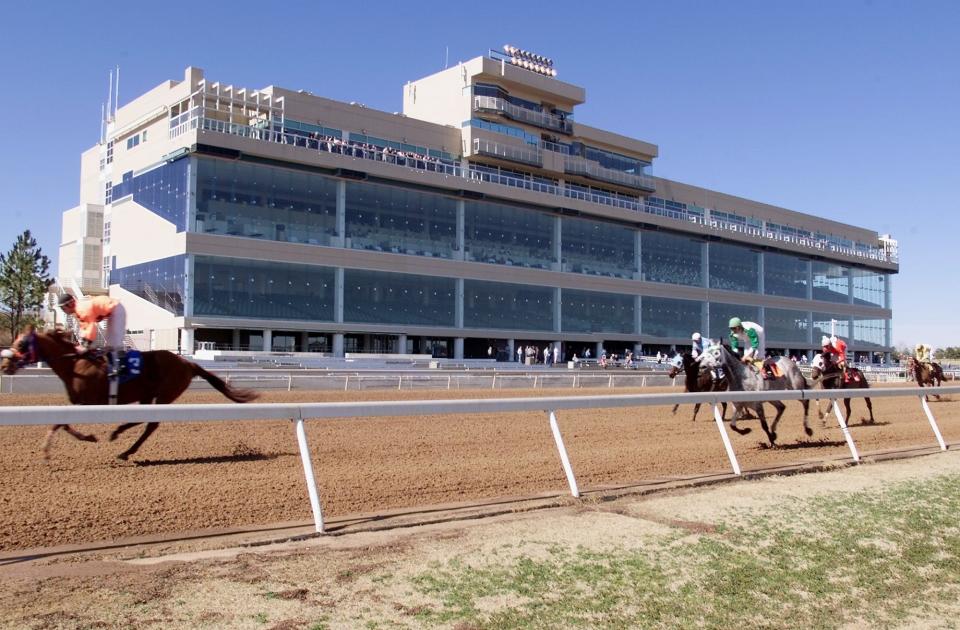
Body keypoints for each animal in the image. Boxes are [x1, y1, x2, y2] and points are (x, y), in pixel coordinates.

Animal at [0, 330, 258, 460]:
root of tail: (188, 362)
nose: (5, 365)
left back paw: (123, 446)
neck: (75, 364)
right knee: (143, 418)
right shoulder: (78, 403)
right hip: (148, 394)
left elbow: (60, 423)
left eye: (21, 344)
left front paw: (57, 447)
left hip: (165, 394)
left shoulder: (91, 402)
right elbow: (61, 423)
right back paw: (120, 436)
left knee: (151, 424)